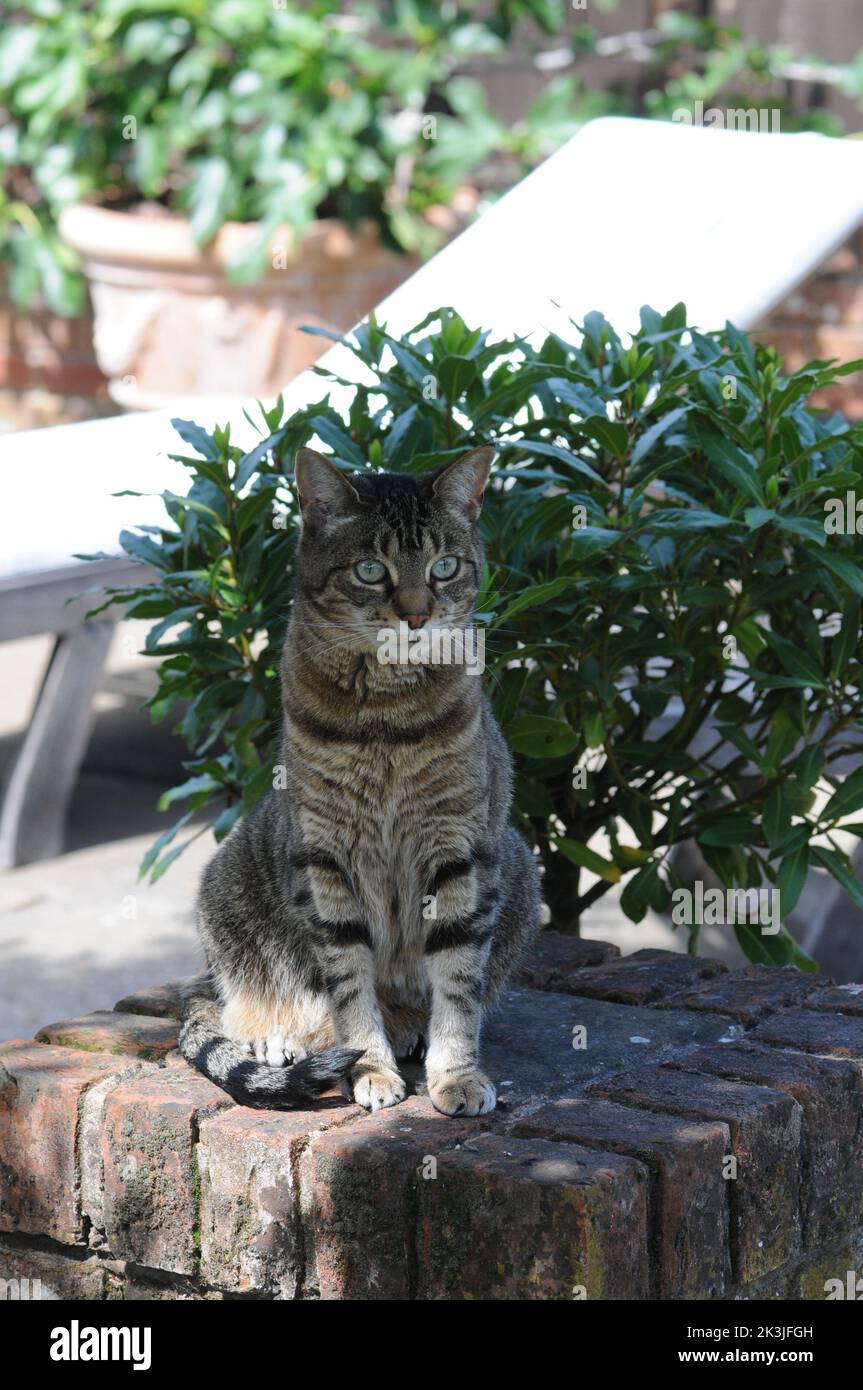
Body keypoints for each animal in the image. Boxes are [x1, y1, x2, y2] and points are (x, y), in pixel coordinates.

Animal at [176, 447, 539, 1117]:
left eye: (445, 566)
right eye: (372, 570)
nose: (417, 615)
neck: (387, 718)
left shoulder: (460, 849)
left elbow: (458, 986)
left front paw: (455, 1074)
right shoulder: (326, 859)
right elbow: (349, 987)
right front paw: (370, 1068)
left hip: (521, 869)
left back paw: (409, 1030)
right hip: (230, 888)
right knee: (236, 1006)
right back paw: (278, 1038)